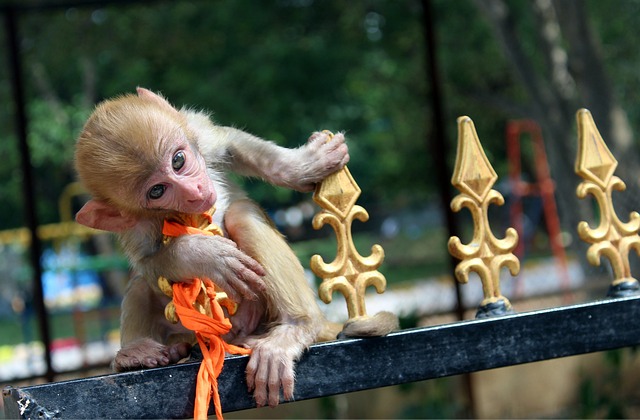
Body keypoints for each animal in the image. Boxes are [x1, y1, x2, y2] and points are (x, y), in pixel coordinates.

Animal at [74, 87, 398, 408]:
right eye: (157, 191)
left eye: (178, 161)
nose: (195, 192)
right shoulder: (133, 226)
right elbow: (147, 263)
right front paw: (203, 254)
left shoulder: (199, 135)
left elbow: (230, 143)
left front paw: (299, 167)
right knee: (142, 284)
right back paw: (139, 354)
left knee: (241, 214)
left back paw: (298, 325)